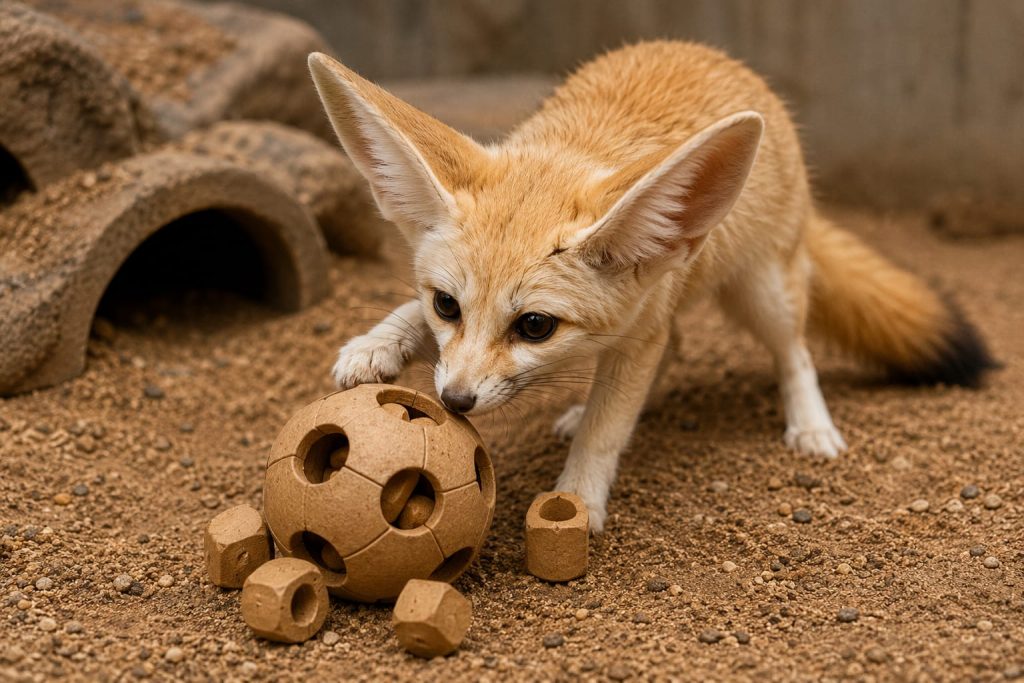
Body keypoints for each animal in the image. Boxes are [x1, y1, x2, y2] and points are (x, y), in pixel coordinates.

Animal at [307, 41, 994, 532]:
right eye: (446, 305)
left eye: (535, 326)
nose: (453, 402)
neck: (575, 147)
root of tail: (707, 51)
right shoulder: (630, 327)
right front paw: (377, 345)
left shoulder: (638, 333)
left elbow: (608, 428)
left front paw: (577, 501)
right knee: (678, 347)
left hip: (761, 293)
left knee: (793, 351)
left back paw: (810, 425)